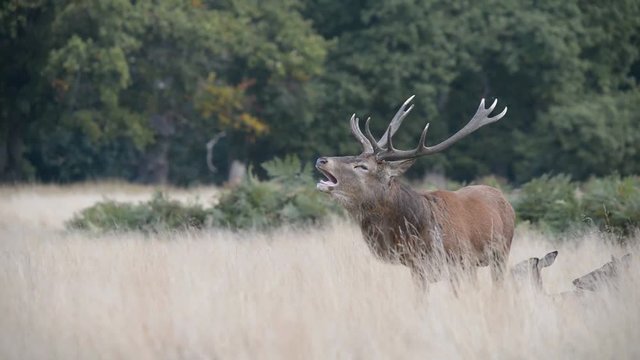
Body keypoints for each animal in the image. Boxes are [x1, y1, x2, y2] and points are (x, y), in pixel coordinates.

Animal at [316, 96, 516, 290]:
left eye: (363, 166)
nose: (321, 159)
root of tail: (504, 199)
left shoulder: (460, 260)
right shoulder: (417, 267)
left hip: (501, 251)